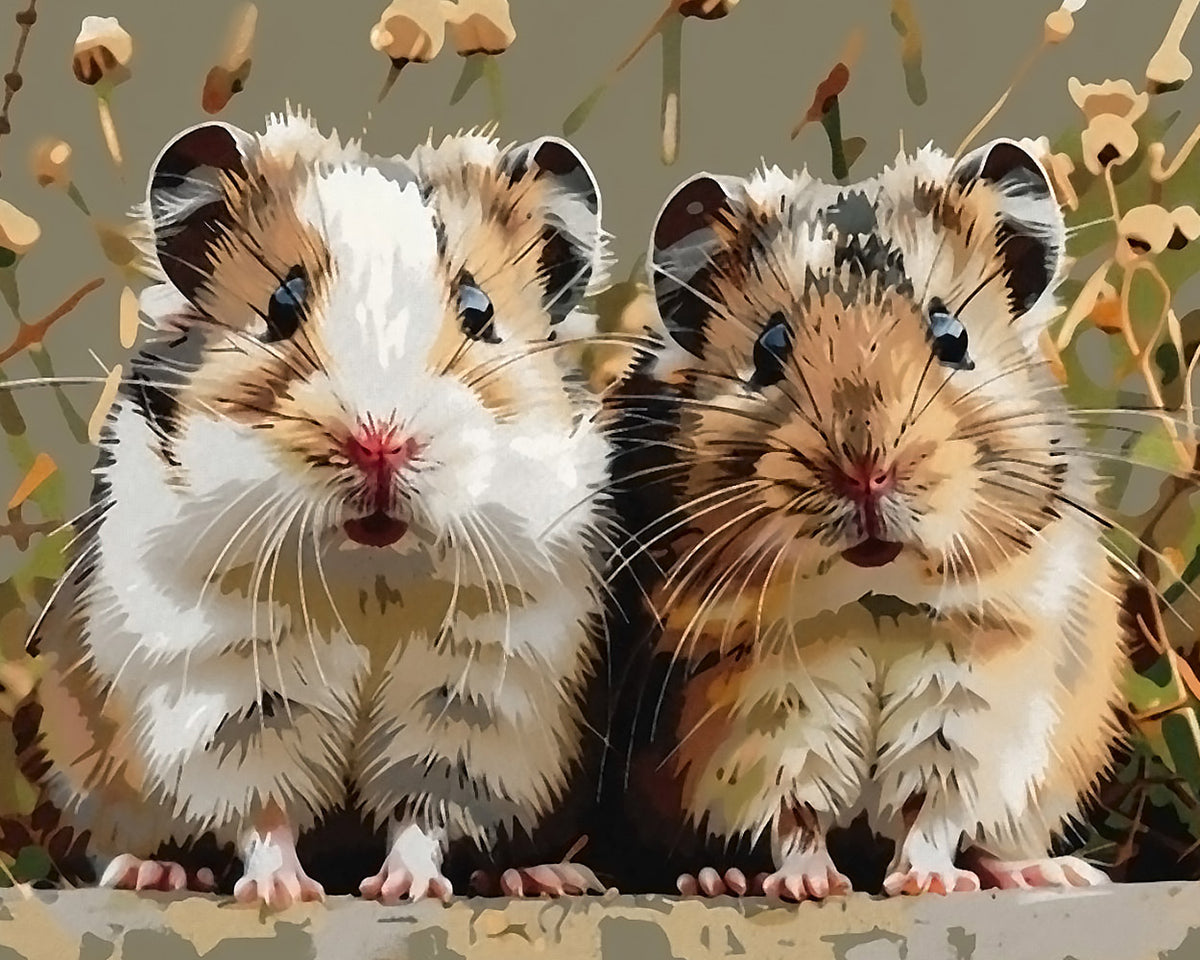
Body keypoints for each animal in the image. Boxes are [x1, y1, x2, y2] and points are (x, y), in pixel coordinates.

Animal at [15, 109, 616, 906]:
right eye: (282, 303)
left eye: (479, 310)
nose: (380, 442)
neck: (372, 575)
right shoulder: (235, 690)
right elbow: (263, 809)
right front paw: (281, 893)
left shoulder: (475, 693)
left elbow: (423, 811)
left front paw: (407, 890)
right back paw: (154, 871)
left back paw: (544, 877)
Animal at [610, 138, 1130, 898]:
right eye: (768, 348)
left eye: (952, 334)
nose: (866, 472)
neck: (873, 598)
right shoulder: (759, 707)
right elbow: (794, 812)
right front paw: (808, 888)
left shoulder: (976, 695)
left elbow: (934, 810)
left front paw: (931, 885)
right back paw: (716, 879)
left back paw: (1050, 871)